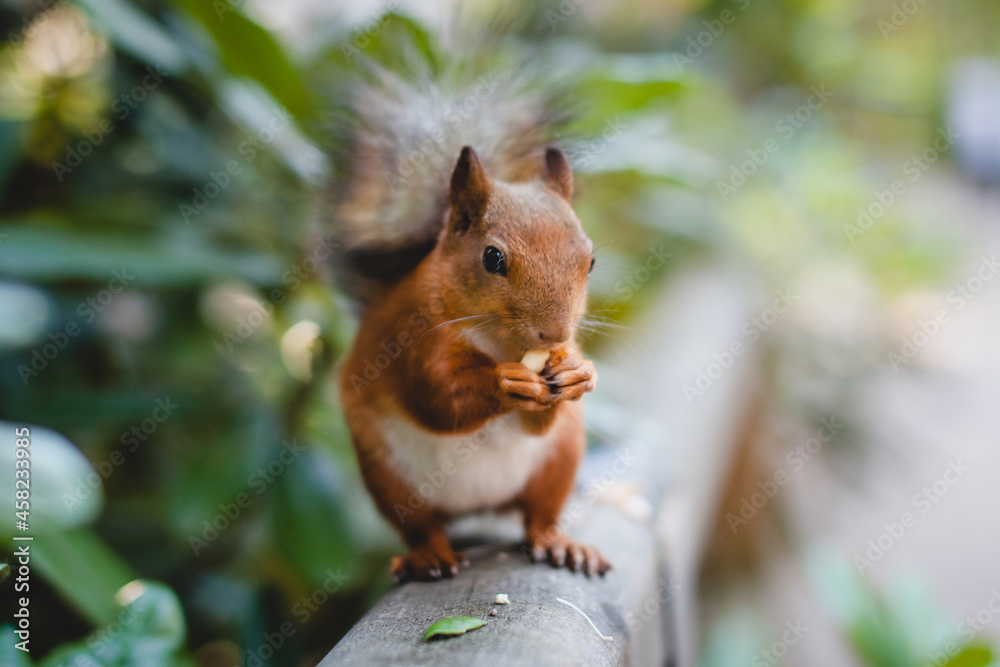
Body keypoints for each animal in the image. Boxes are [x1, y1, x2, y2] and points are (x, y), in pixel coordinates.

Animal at [323, 41, 610, 582]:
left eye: (591, 260)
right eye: (492, 258)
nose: (553, 333)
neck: (504, 343)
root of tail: (478, 508)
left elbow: (540, 418)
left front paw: (579, 373)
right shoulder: (413, 337)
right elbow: (437, 397)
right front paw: (505, 383)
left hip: (558, 461)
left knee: (538, 517)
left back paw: (560, 544)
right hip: (389, 480)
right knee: (422, 527)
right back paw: (429, 556)